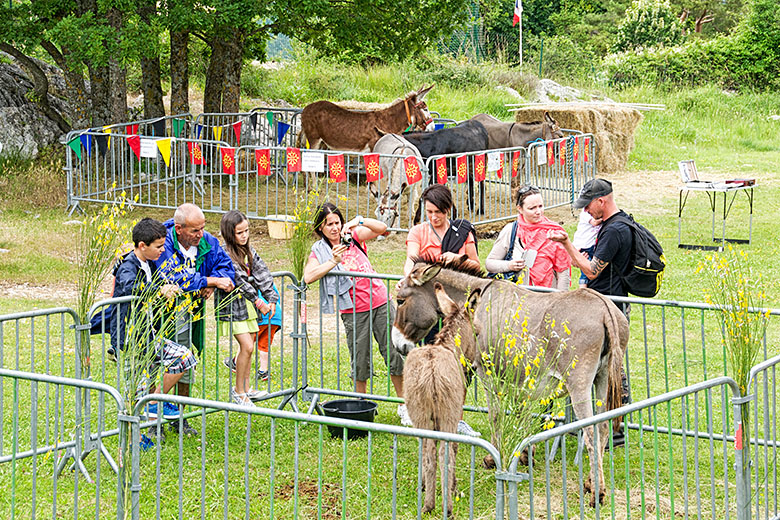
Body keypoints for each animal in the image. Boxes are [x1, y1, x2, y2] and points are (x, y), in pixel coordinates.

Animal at [406, 282, 478, 512]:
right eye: (477, 331)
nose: (473, 365)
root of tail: (431, 371)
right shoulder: (456, 412)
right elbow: (453, 447)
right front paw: (453, 488)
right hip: (447, 414)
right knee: (443, 452)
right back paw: (444, 505)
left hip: (421, 414)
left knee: (429, 452)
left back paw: (428, 503)